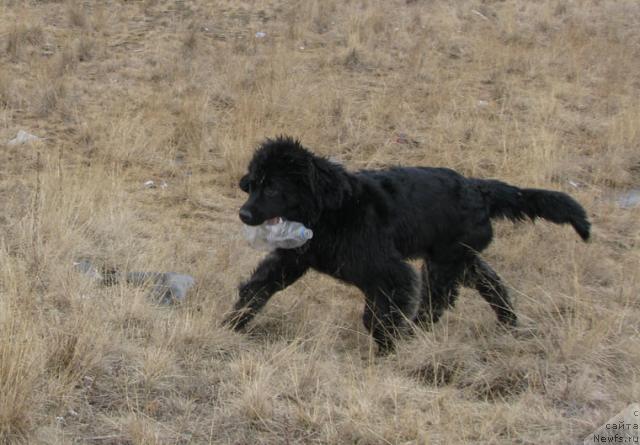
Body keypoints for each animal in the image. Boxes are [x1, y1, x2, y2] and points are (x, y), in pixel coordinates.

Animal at [225, 137, 592, 352]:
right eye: (252, 184)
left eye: (273, 188)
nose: (244, 214)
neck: (330, 210)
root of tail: (479, 189)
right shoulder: (292, 260)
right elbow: (257, 288)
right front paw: (233, 324)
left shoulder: (390, 274)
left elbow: (378, 316)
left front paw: (387, 349)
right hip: (459, 259)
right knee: (490, 282)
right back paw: (508, 321)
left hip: (445, 263)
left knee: (437, 303)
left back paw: (417, 333)